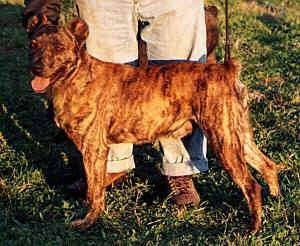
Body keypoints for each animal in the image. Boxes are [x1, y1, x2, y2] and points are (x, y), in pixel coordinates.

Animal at [29, 18, 284, 232]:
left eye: (59, 47)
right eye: (33, 44)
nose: (36, 67)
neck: (75, 76)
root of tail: (226, 68)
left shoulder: (93, 149)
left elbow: (94, 192)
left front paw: (88, 220)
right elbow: (95, 184)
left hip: (224, 140)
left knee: (251, 185)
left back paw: (253, 228)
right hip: (238, 134)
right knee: (268, 165)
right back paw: (276, 199)